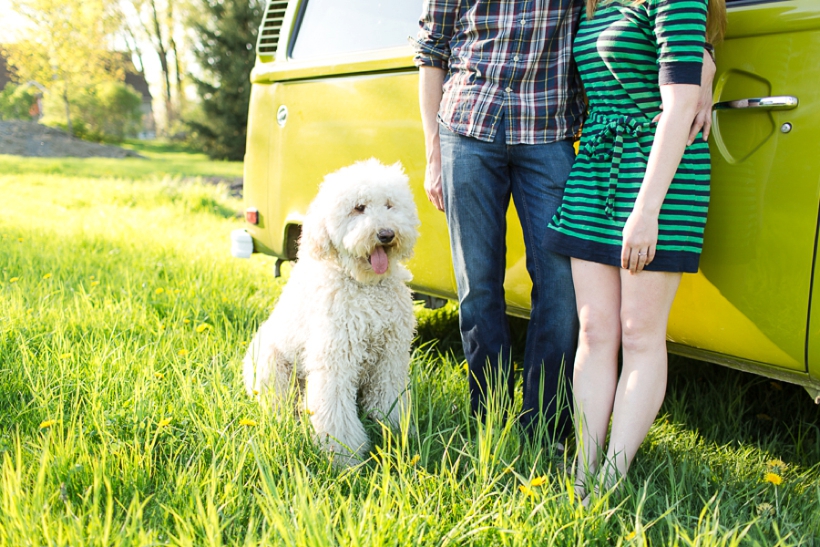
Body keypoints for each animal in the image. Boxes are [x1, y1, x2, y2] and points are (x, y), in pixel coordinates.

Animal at [243, 158, 420, 466]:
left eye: (389, 205)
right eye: (359, 207)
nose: (386, 234)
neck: (364, 285)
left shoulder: (390, 358)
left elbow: (388, 400)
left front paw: (396, 433)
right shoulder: (336, 358)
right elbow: (336, 412)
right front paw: (344, 456)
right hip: (272, 368)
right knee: (278, 404)